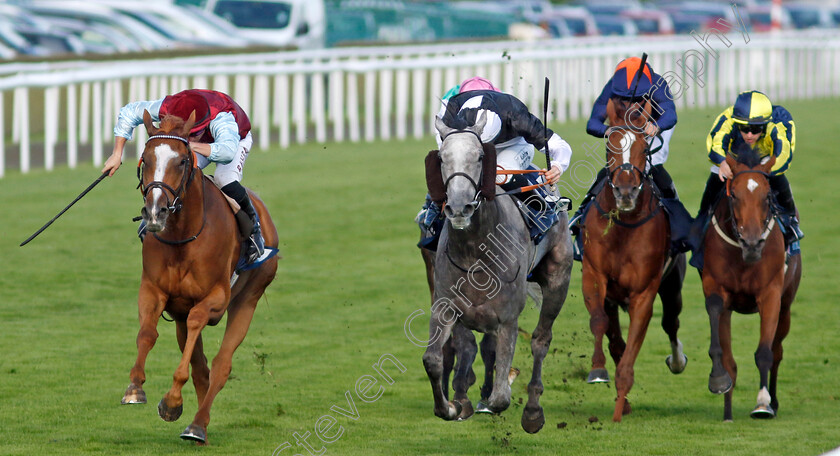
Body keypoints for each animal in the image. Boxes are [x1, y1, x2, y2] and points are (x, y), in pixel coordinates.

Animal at [120, 112, 280, 444]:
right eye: (145, 159)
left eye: (182, 161)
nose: (155, 213)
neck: (183, 235)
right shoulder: (153, 290)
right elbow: (147, 334)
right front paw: (135, 388)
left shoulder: (215, 299)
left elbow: (198, 326)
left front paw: (170, 401)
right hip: (180, 314)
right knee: (201, 366)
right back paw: (197, 418)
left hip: (249, 298)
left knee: (221, 365)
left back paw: (196, 425)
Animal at [424, 112, 576, 432]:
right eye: (442, 158)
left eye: (481, 155)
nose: (459, 208)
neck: (476, 251)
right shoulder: (447, 306)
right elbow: (434, 359)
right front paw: (452, 405)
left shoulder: (507, 318)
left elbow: (501, 398)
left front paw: (499, 390)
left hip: (559, 279)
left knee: (541, 341)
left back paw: (532, 410)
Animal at [576, 98, 688, 422]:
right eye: (610, 145)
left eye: (643, 146)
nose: (625, 193)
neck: (624, 224)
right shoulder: (595, 276)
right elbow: (601, 324)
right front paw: (598, 371)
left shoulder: (644, 293)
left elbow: (630, 353)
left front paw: (618, 410)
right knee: (615, 337)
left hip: (673, 284)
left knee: (671, 321)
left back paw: (677, 361)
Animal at [700, 150, 804, 420]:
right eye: (734, 195)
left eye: (767, 196)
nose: (753, 243)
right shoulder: (716, 288)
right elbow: (725, 355)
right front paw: (719, 383)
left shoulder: (770, 295)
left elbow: (765, 353)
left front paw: (763, 403)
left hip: (786, 306)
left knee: (777, 351)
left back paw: (773, 402)